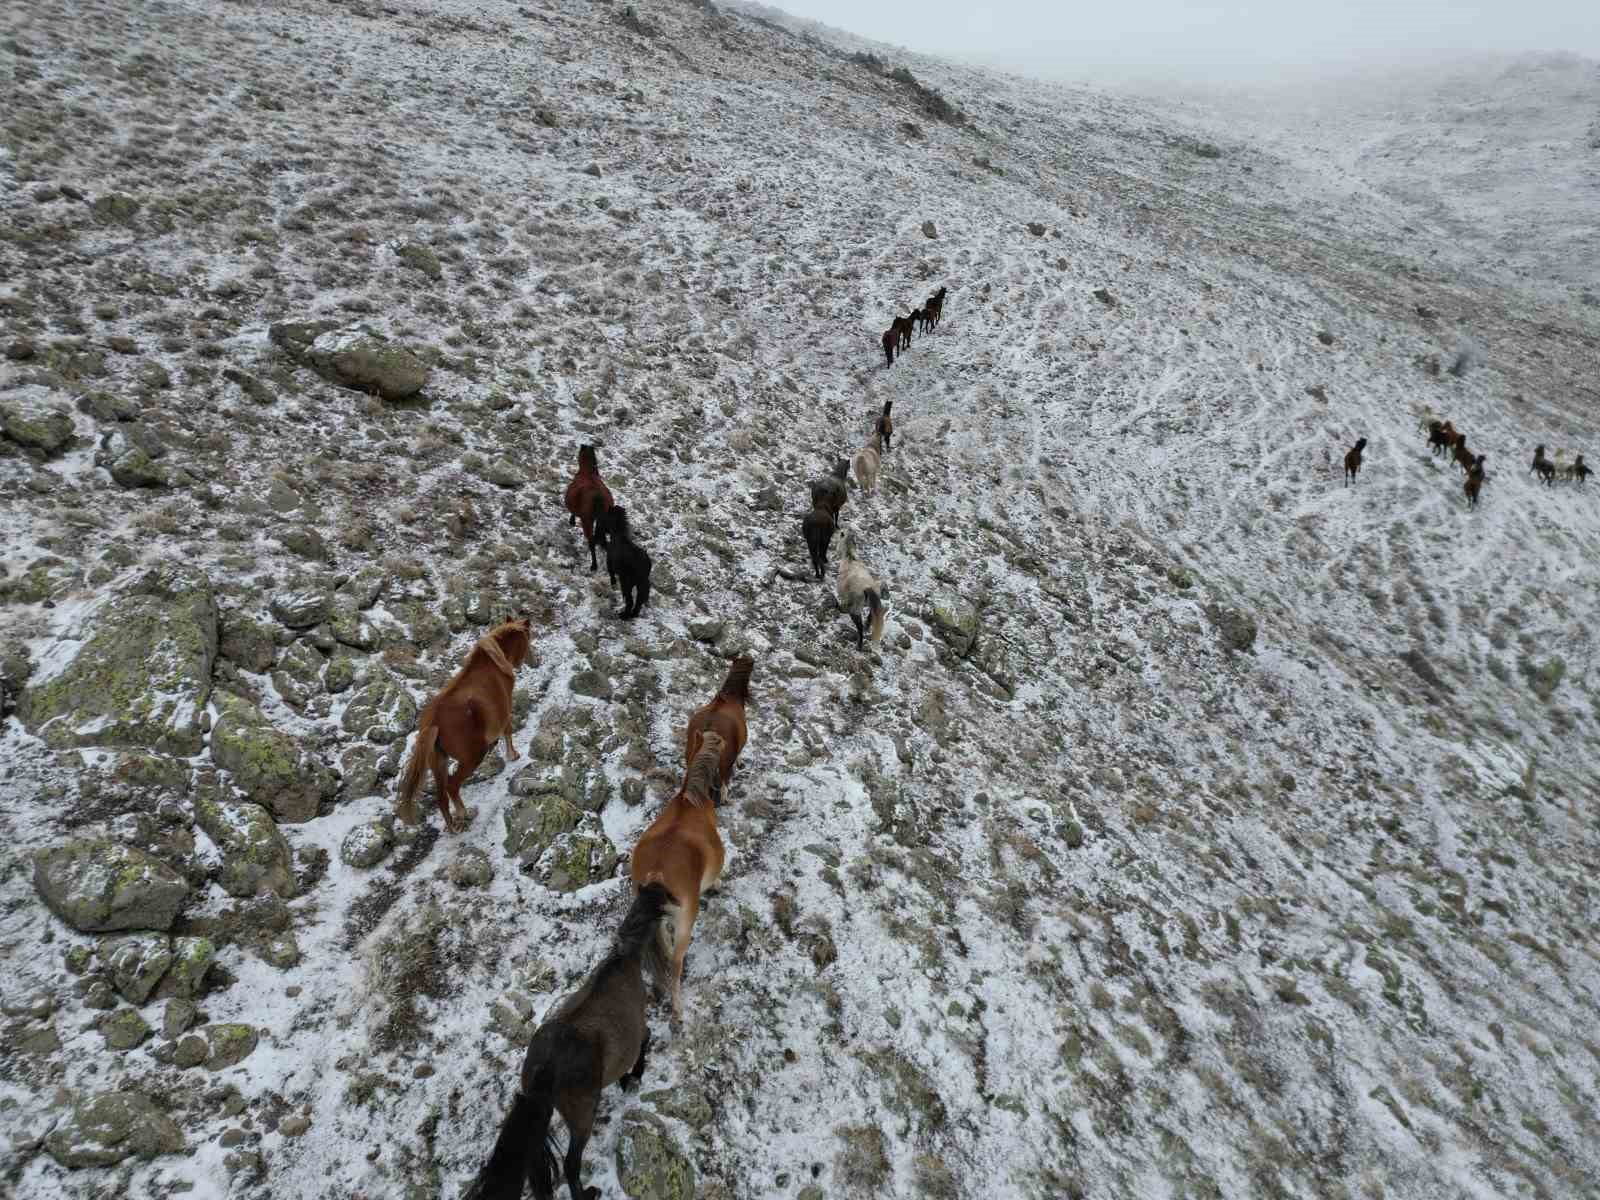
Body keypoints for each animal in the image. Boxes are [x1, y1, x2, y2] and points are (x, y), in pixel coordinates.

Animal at [396, 614, 534, 832]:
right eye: (527, 638)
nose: (529, 660)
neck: (493, 664)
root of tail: (433, 723)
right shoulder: (506, 712)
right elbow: (508, 732)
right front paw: (513, 755)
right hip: (471, 758)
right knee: (452, 786)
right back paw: (463, 813)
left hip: (439, 762)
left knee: (441, 797)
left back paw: (453, 827)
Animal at [464, 883, 668, 1200]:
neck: (624, 961)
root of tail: (546, 1068)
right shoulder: (638, 1031)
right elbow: (645, 1042)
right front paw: (633, 1076)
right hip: (582, 1115)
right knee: (572, 1164)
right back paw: (588, 1193)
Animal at [627, 732, 729, 1024]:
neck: (690, 800)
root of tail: (657, 876)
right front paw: (718, 884)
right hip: (684, 925)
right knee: (675, 961)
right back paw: (678, 1008)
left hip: (659, 925)